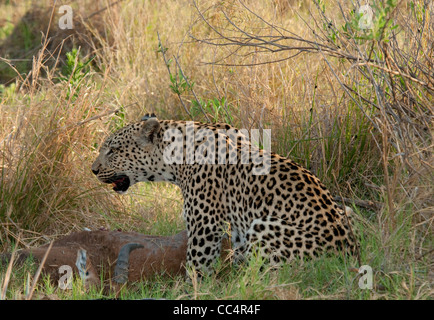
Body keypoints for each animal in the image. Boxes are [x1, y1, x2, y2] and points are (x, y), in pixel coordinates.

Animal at [91, 113, 356, 276]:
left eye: (112, 150)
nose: (93, 170)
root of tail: (349, 255)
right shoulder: (237, 225)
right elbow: (237, 253)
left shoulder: (204, 224)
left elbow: (197, 265)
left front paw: (190, 289)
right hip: (347, 210)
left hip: (264, 225)